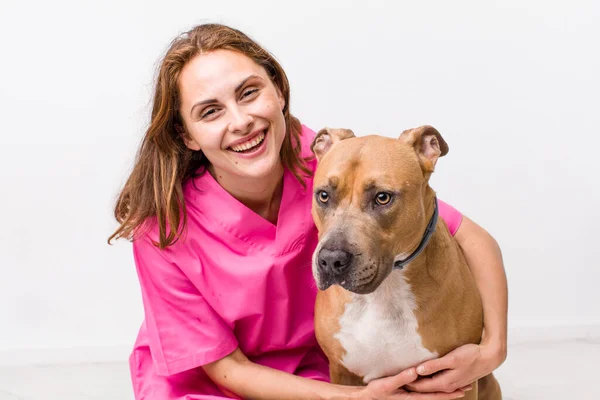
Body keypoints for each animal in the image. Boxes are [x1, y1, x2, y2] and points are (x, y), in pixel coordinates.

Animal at [310, 126, 502, 400]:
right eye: (324, 196)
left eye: (382, 198)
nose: (331, 259)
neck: (385, 291)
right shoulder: (341, 374)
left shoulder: (460, 378)